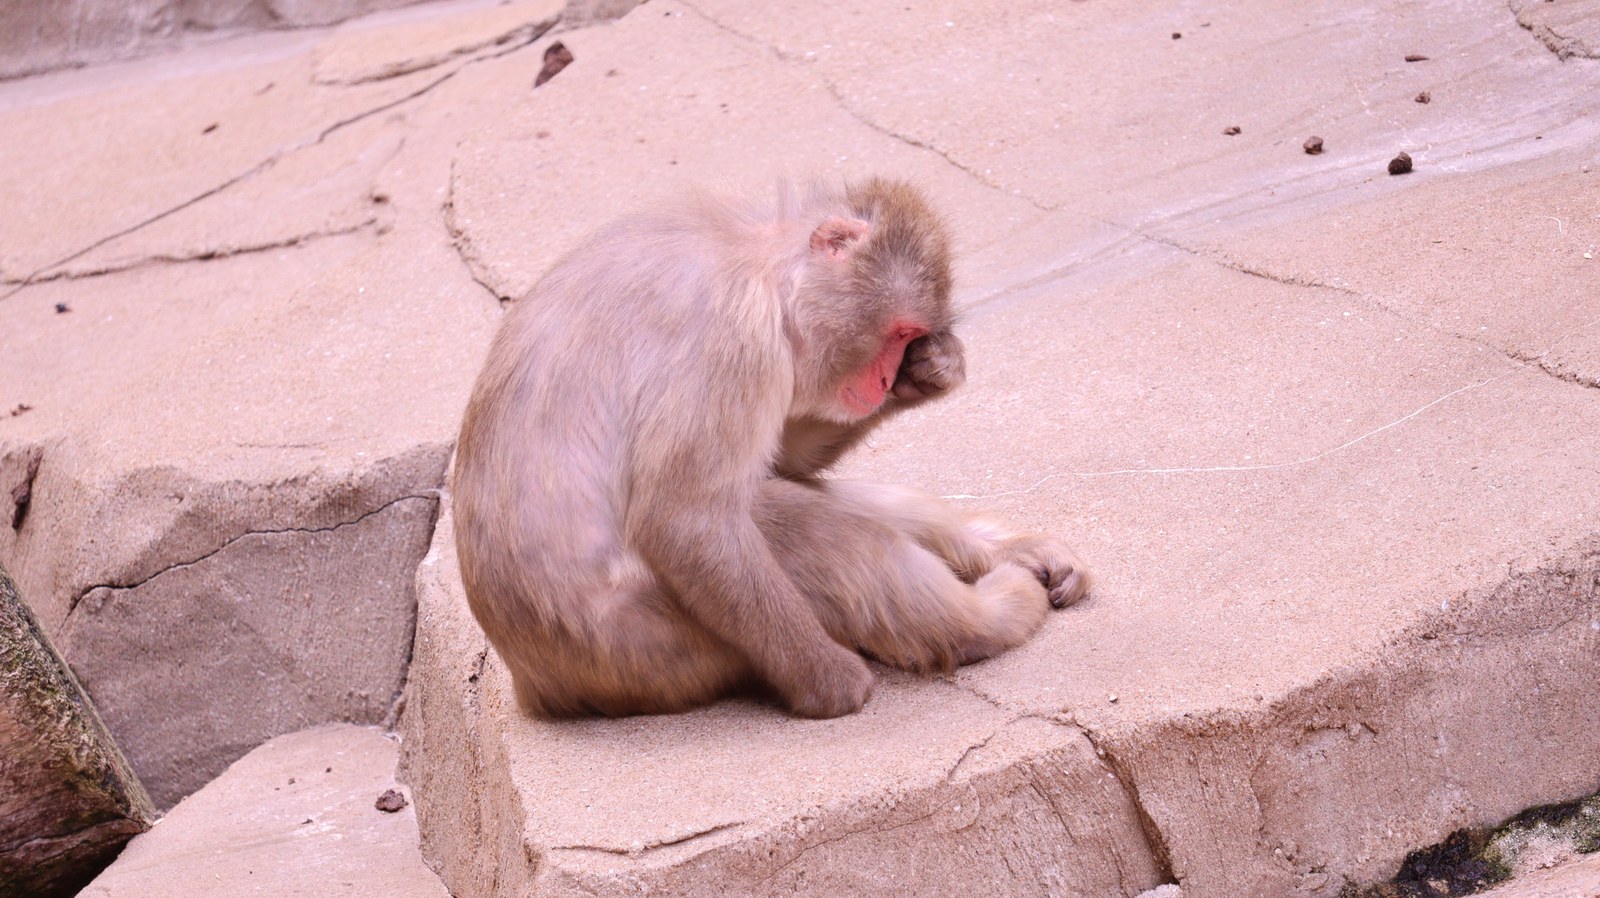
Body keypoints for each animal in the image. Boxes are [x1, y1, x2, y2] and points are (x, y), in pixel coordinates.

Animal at [452, 178, 1089, 719]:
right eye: (898, 332)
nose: (887, 379)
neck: (767, 264)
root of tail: (542, 688)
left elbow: (785, 461)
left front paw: (932, 374)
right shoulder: (734, 337)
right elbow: (684, 519)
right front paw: (828, 682)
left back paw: (1013, 555)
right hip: (659, 648)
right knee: (764, 511)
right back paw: (990, 618)